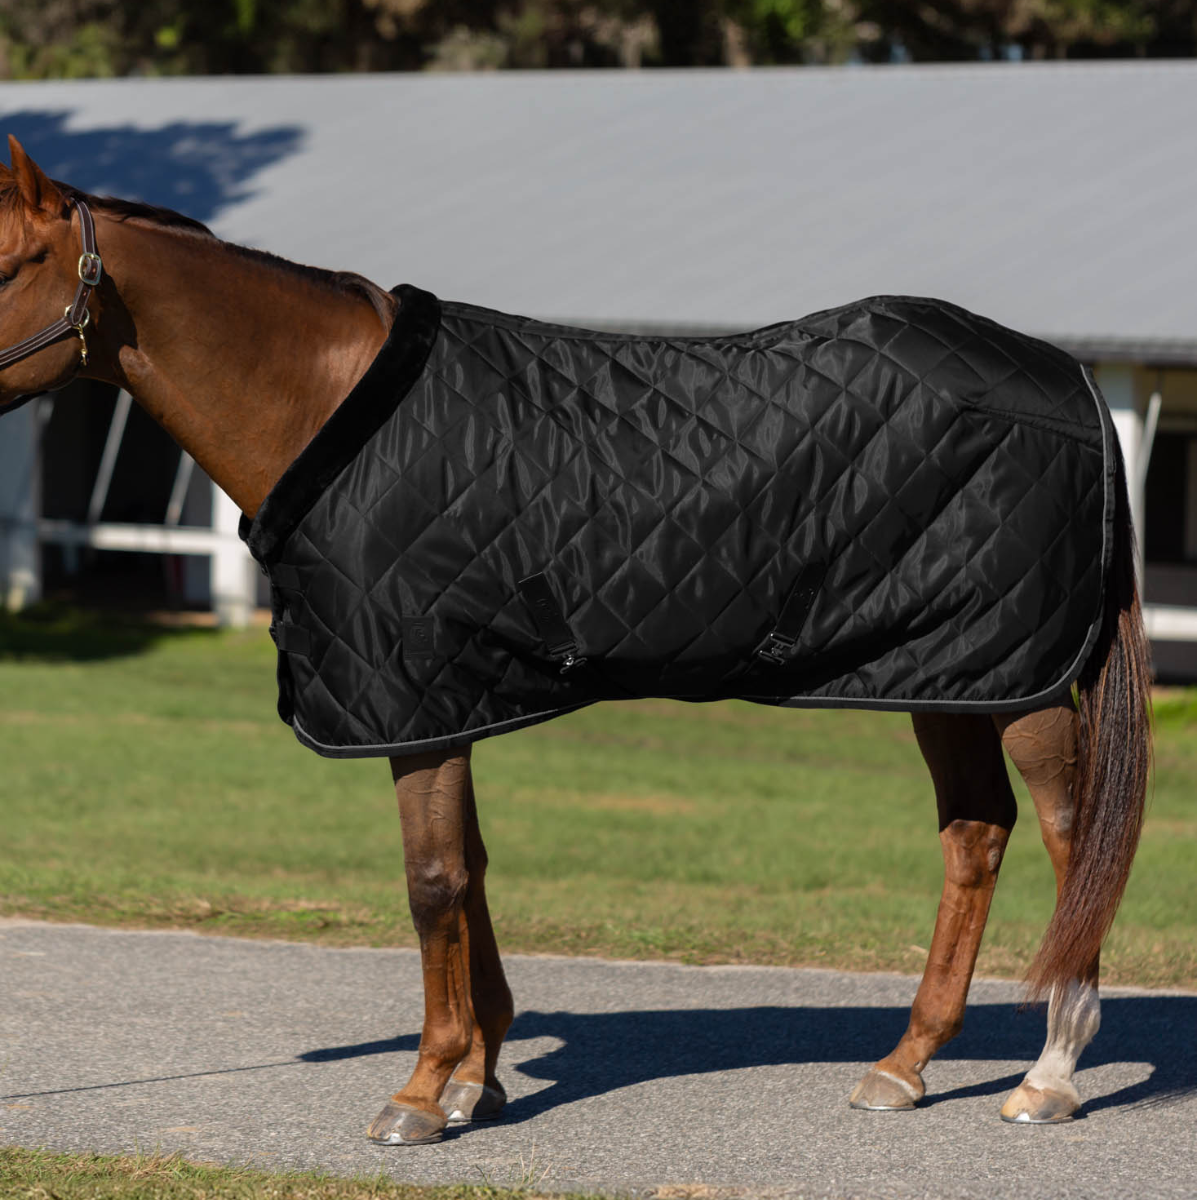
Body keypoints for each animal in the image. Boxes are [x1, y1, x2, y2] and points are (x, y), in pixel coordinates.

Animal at [0, 137, 1150, 1146]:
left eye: (11, 265)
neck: (336, 413)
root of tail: (1066, 375)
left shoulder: (416, 697)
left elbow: (431, 883)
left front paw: (420, 1092)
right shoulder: (452, 697)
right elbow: (470, 870)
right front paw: (477, 1079)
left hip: (1021, 681)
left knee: (1068, 835)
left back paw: (1050, 1075)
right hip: (946, 675)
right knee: (977, 834)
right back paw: (905, 1064)